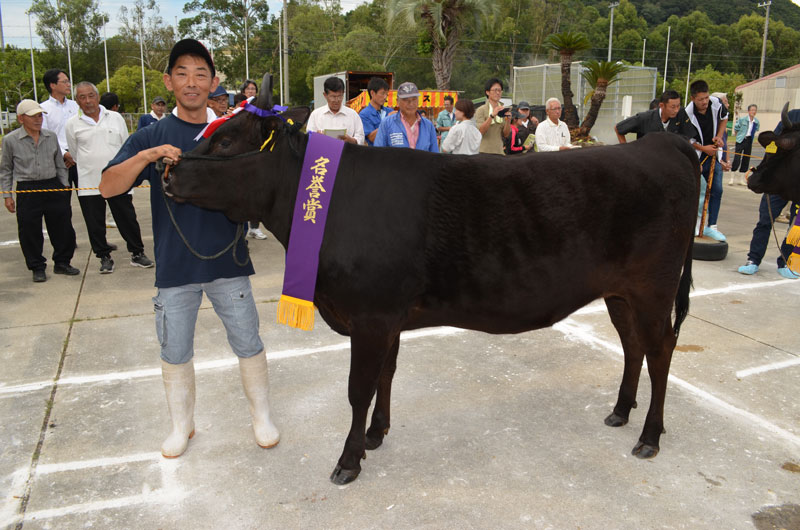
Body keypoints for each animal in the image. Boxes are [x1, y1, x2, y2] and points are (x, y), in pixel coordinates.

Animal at [164, 73, 700, 482]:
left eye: (225, 140)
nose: (168, 172)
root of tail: (665, 142)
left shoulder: (371, 316)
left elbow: (359, 388)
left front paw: (348, 460)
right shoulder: (386, 318)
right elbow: (385, 375)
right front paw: (376, 435)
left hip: (653, 289)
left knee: (660, 351)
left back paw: (649, 435)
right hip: (620, 293)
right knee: (633, 347)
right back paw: (621, 412)